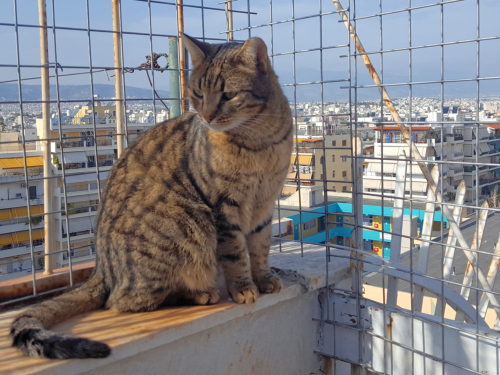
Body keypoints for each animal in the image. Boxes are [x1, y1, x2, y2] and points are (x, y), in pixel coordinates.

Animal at [8, 33, 292, 360]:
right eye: (197, 93)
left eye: (228, 95)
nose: (206, 116)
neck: (259, 141)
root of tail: (101, 270)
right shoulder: (223, 207)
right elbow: (235, 253)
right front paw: (243, 286)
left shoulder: (265, 205)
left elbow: (260, 248)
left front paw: (264, 277)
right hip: (188, 223)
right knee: (122, 301)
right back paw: (198, 294)